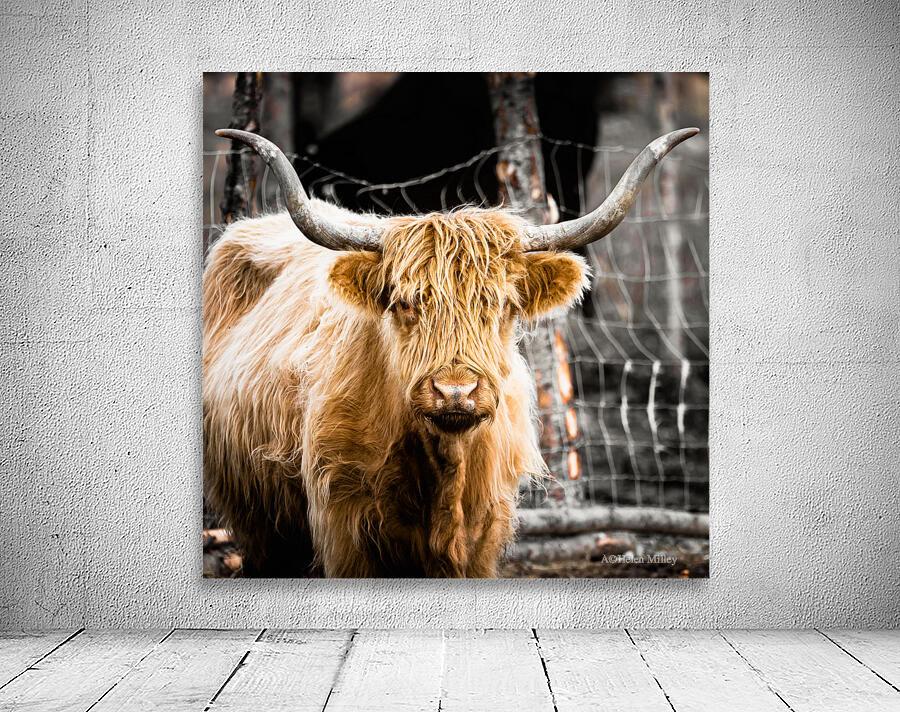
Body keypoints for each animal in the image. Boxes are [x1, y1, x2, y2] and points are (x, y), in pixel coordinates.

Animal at [203, 127, 698, 577]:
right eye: (405, 303)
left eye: (501, 304)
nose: (455, 392)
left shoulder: (484, 533)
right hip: (259, 524)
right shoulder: (344, 528)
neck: (445, 469)